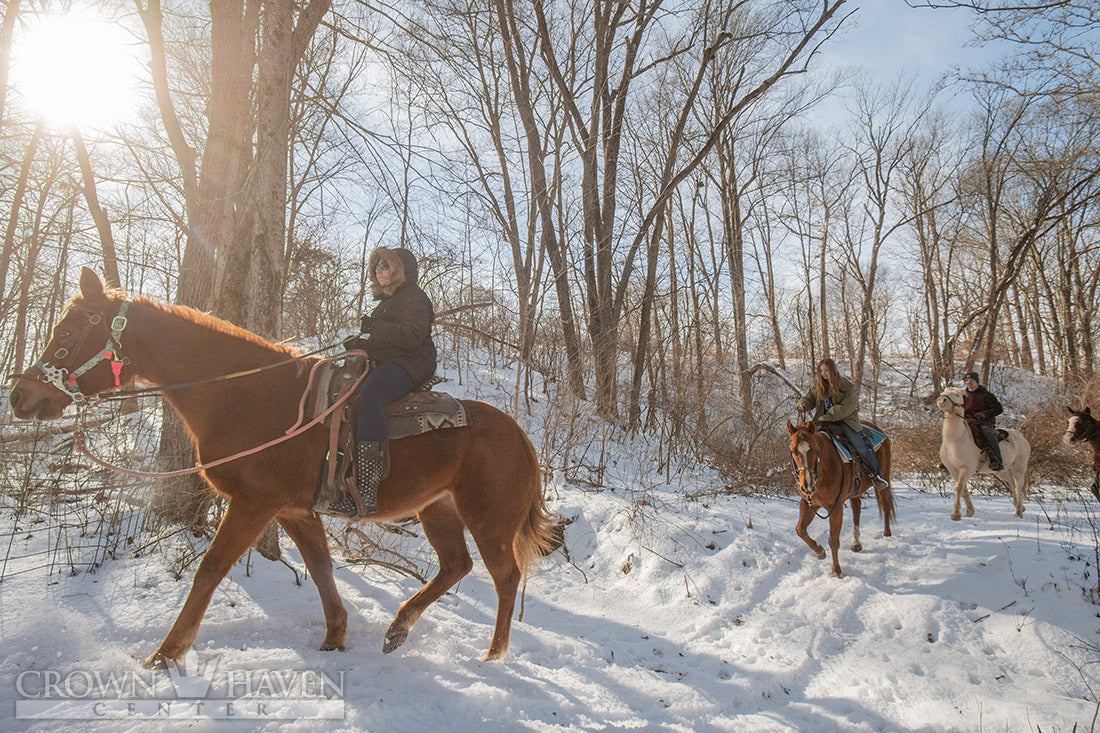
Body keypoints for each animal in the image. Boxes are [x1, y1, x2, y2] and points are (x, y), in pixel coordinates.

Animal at [8, 267, 558, 660]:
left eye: (67, 332)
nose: (20, 396)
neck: (244, 395)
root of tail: (520, 437)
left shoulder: (254, 503)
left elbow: (210, 570)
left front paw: (166, 655)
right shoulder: (294, 510)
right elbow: (319, 567)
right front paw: (335, 636)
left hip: (488, 520)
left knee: (505, 577)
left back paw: (494, 653)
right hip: (436, 508)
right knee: (455, 565)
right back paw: (399, 628)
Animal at [783, 420, 893, 572]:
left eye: (815, 449)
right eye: (794, 450)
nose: (807, 486)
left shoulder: (835, 508)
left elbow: (833, 540)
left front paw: (836, 571)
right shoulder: (809, 503)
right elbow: (800, 530)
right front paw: (819, 552)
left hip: (884, 478)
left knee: (885, 502)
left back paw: (887, 533)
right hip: (855, 490)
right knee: (857, 507)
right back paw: (856, 543)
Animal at [937, 387, 1029, 519]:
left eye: (957, 395)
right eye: (942, 393)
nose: (941, 400)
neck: (954, 439)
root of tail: (1020, 436)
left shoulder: (966, 469)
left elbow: (959, 487)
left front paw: (956, 514)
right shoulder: (953, 470)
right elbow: (964, 490)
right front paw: (969, 512)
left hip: (1019, 469)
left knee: (1018, 486)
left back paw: (1019, 512)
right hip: (1002, 471)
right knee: (1011, 483)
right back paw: (1019, 508)